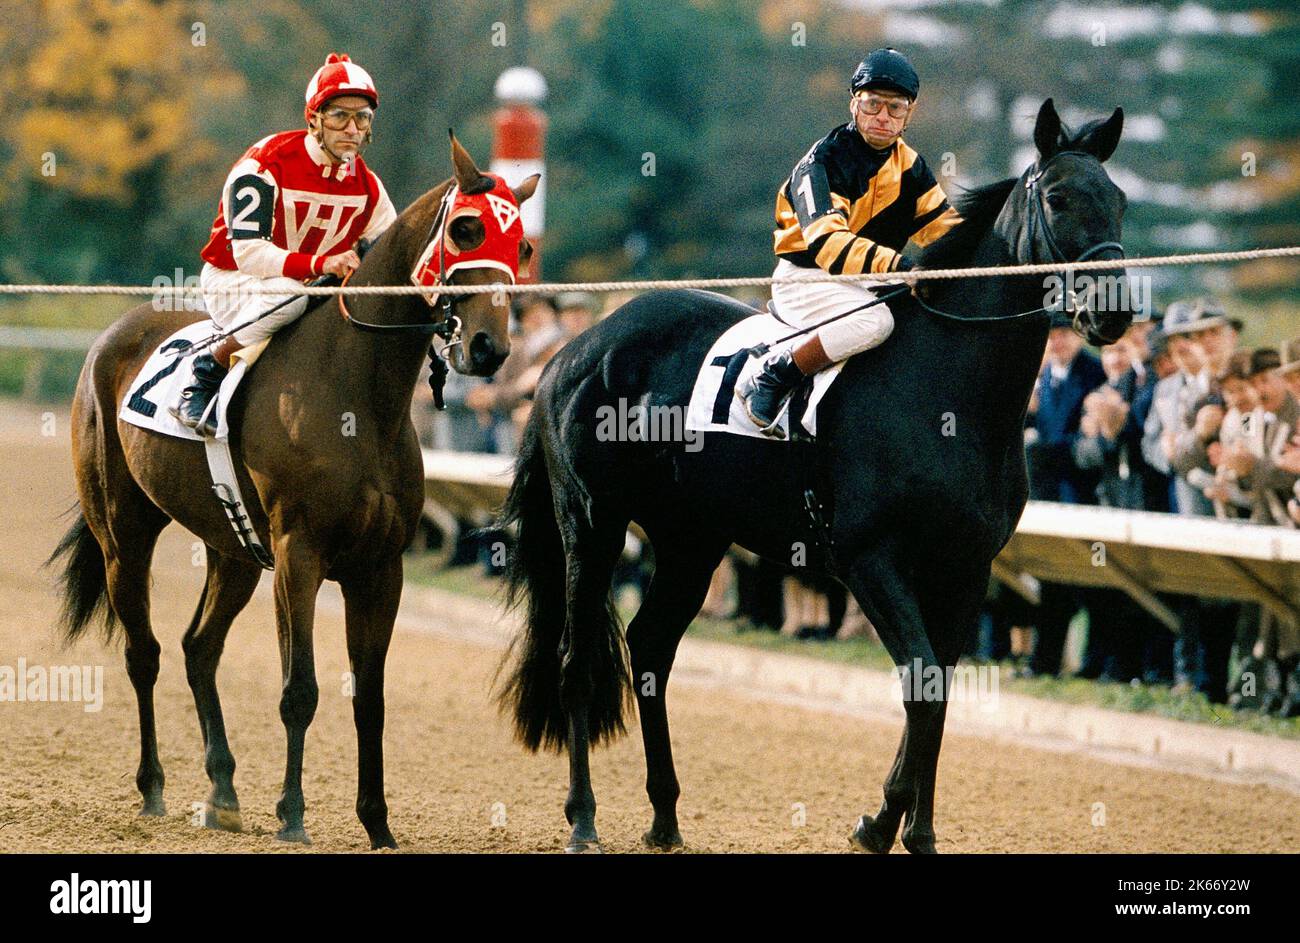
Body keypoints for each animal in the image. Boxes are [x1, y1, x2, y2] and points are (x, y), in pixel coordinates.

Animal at [49, 132, 538, 848]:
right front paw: (293, 816)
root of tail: (115, 336)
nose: (488, 349)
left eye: (523, 245)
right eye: (466, 229)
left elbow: (370, 697)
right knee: (146, 653)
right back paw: (153, 789)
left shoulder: (379, 567)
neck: (356, 394)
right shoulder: (298, 555)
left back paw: (223, 792)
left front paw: (377, 824)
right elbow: (299, 690)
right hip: (124, 533)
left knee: (199, 649)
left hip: (231, 549)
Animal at [501, 99, 1133, 848]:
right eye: (1059, 197)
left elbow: (940, 688)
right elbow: (923, 684)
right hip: (591, 524)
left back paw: (665, 816)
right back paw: (584, 818)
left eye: (1119, 200)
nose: (1114, 311)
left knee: (650, 649)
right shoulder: (869, 559)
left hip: (692, 538)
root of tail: (576, 349)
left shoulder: (964, 567)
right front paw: (882, 824)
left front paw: (911, 830)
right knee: (576, 662)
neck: (950, 397)